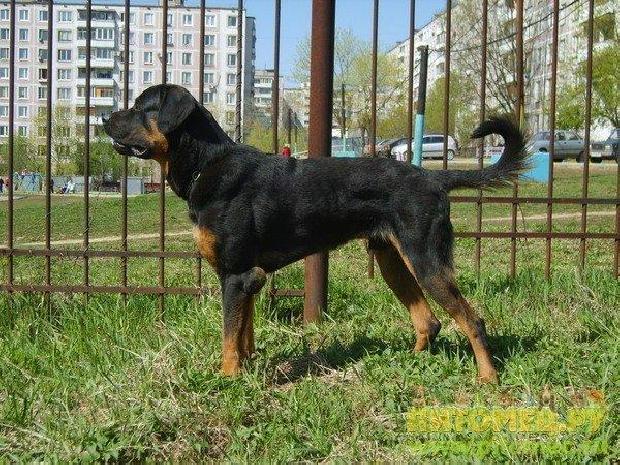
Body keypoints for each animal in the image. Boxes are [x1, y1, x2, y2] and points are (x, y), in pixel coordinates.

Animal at [104, 84, 528, 383]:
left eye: (142, 107)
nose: (105, 116)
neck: (208, 164)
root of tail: (434, 177)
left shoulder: (237, 275)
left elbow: (228, 336)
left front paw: (227, 379)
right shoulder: (247, 278)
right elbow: (244, 332)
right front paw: (249, 367)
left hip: (426, 261)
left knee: (472, 321)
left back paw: (488, 379)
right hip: (392, 260)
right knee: (430, 321)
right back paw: (410, 363)